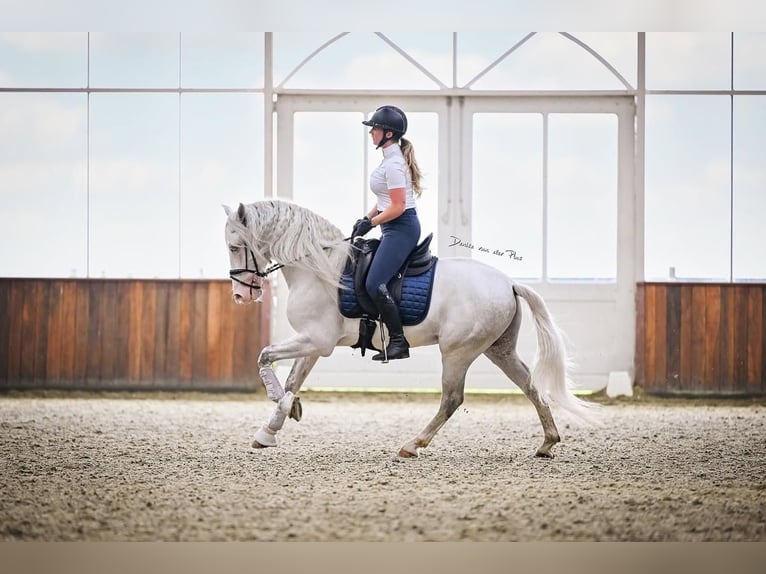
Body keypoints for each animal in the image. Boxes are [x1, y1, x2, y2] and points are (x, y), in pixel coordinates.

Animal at [225, 200, 596, 462]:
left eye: (233, 246)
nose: (241, 296)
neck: (319, 269)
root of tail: (509, 282)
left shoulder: (318, 340)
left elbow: (265, 357)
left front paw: (285, 409)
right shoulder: (313, 343)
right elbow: (291, 380)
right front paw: (272, 427)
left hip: (458, 352)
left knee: (452, 399)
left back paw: (412, 445)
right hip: (499, 350)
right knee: (531, 386)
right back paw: (547, 443)